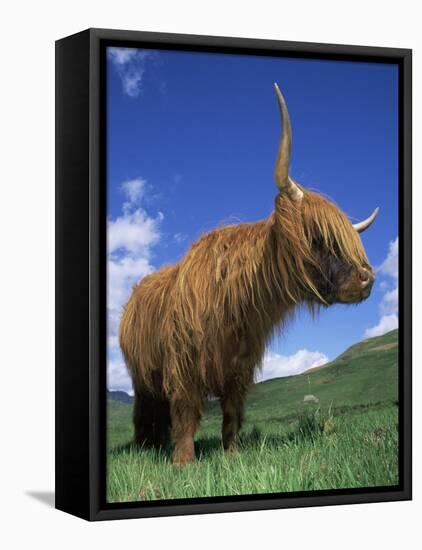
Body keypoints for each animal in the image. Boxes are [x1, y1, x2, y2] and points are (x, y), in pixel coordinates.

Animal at [119, 84, 380, 466]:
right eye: (317, 237)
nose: (367, 278)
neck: (236, 304)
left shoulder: (239, 367)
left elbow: (231, 412)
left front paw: (232, 454)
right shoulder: (183, 364)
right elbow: (185, 410)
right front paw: (183, 461)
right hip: (140, 376)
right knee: (145, 410)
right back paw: (144, 447)